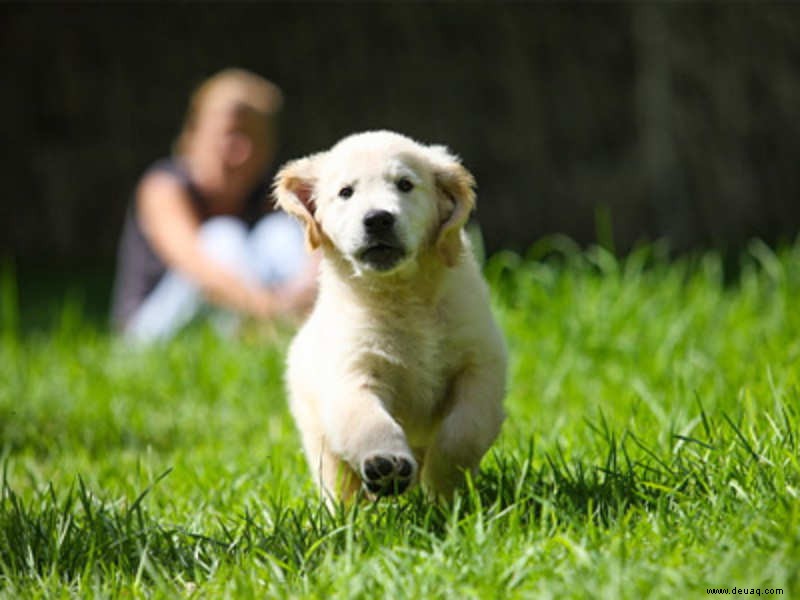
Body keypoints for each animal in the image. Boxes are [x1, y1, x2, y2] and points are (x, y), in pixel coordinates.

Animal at [272, 131, 504, 502]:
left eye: (405, 184)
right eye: (346, 192)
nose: (378, 219)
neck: (403, 294)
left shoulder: (479, 363)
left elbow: (465, 430)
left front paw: (442, 486)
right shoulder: (352, 371)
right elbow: (367, 420)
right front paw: (387, 465)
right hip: (315, 431)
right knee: (337, 481)